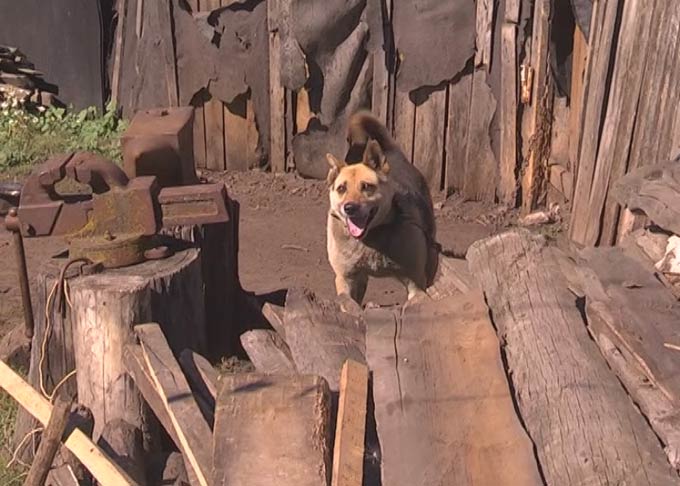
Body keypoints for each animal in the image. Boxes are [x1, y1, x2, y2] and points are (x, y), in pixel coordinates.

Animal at [326, 110, 440, 304]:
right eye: (341, 188)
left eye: (366, 186)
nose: (349, 208)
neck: (371, 239)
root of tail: (391, 150)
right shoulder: (346, 279)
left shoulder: (415, 283)